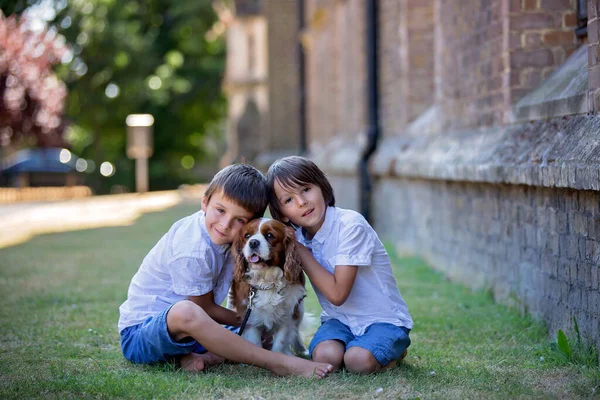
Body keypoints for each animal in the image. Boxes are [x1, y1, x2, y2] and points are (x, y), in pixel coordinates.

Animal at [227, 219, 308, 356]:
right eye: (247, 236)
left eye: (270, 235)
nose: (253, 242)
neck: (267, 280)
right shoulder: (250, 319)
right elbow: (255, 344)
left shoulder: (286, 319)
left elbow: (279, 345)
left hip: (300, 309)